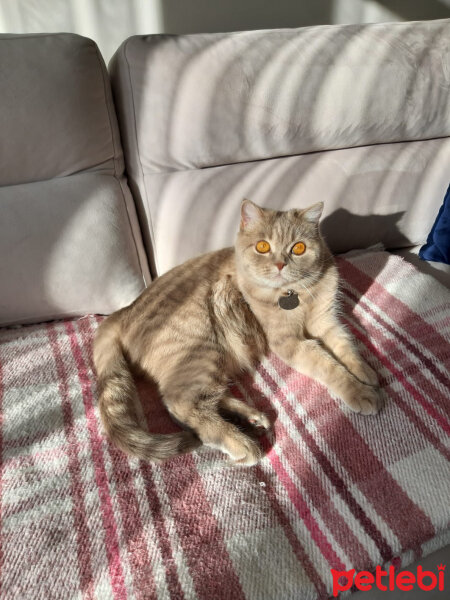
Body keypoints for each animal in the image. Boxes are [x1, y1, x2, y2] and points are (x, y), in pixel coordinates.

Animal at [93, 199, 382, 466]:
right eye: (263, 246)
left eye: (298, 248)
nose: (280, 264)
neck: (296, 295)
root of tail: (124, 310)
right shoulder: (289, 342)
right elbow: (327, 364)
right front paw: (359, 392)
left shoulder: (327, 322)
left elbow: (346, 346)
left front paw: (365, 372)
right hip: (201, 347)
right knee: (180, 403)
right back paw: (238, 440)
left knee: (202, 400)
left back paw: (250, 417)